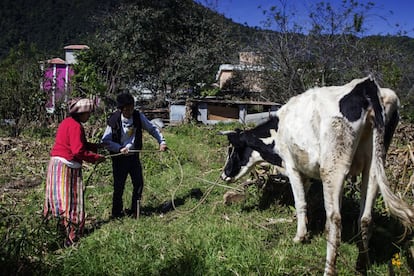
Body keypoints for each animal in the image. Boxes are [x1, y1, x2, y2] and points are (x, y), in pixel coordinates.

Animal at [218, 75, 412, 274]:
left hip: (332, 167)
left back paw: (329, 269)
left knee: (335, 219)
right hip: (373, 166)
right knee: (365, 218)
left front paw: (299, 237)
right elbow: (309, 202)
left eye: (231, 149)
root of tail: (365, 84)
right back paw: (360, 266)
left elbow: (300, 202)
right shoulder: (308, 174)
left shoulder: (292, 167)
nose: (223, 175)